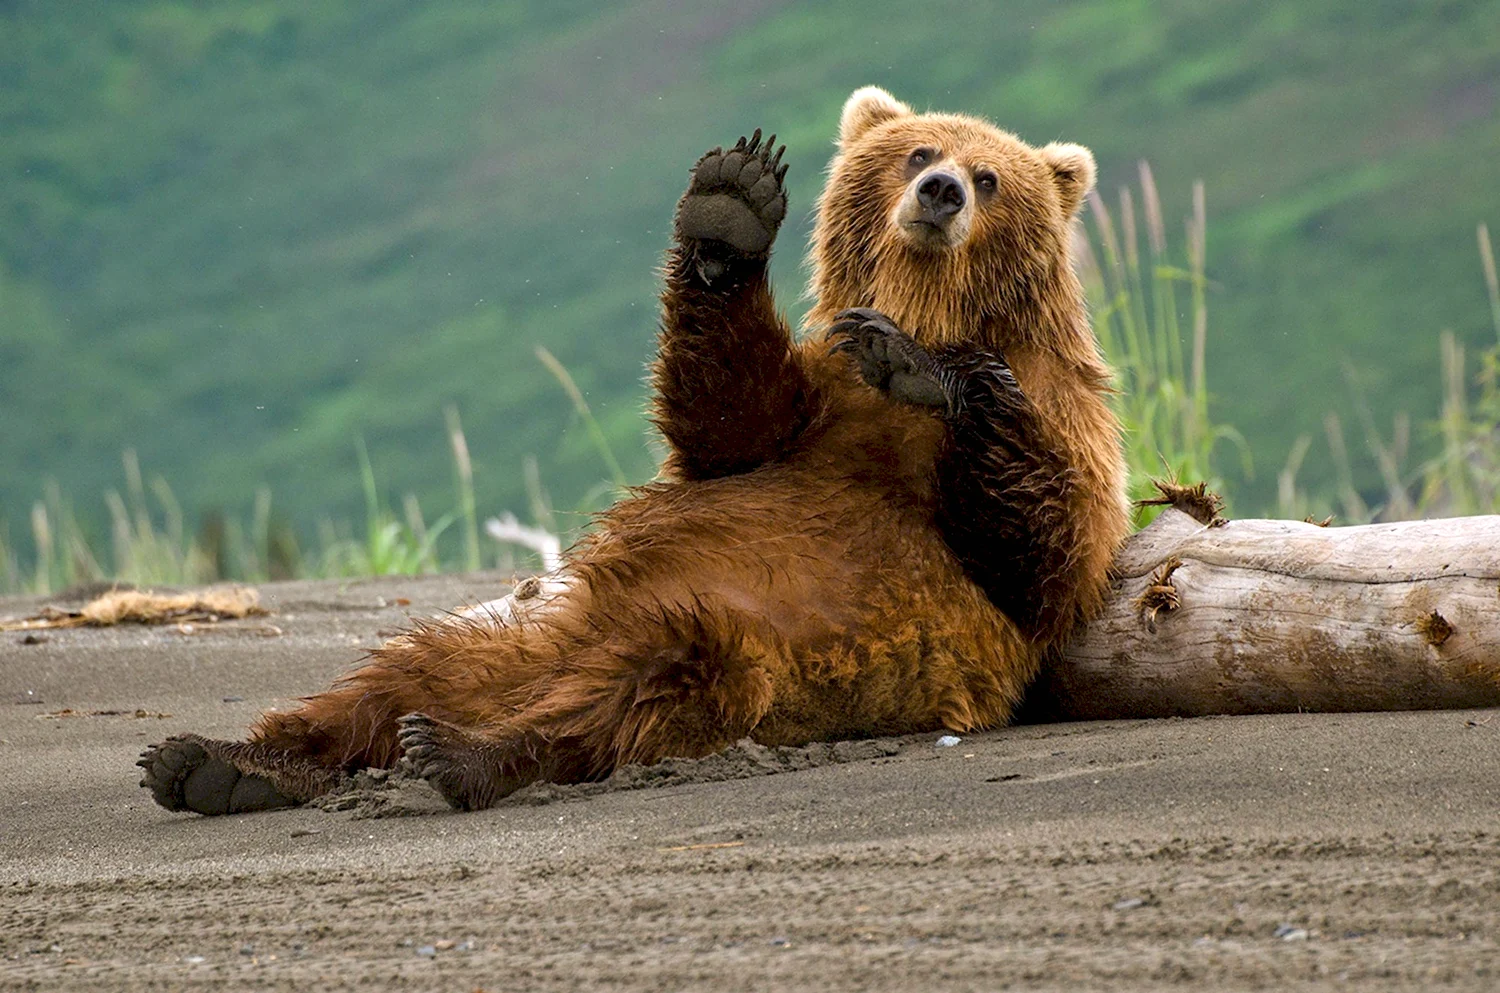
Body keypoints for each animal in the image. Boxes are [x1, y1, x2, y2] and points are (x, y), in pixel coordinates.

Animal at [138, 87, 1128, 816]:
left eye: (990, 175)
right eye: (919, 152)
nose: (942, 193)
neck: (929, 303)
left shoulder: (1060, 425)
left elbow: (1042, 549)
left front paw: (925, 368)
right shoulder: (809, 412)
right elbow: (726, 415)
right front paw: (732, 207)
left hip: (743, 648)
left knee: (637, 687)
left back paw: (461, 751)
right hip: (514, 638)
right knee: (388, 675)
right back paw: (218, 760)